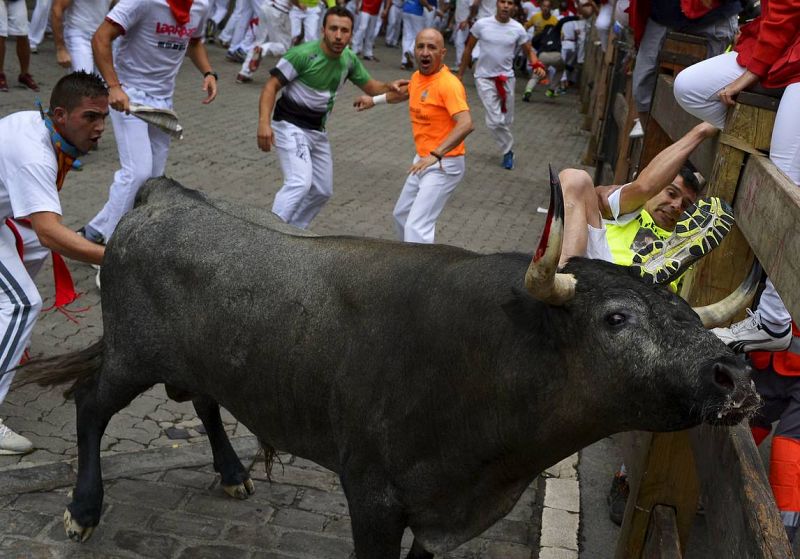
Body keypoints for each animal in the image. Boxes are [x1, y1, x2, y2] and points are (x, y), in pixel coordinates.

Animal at [17, 177, 756, 556]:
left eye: (687, 315)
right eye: (617, 318)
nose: (736, 377)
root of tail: (167, 196)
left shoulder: (447, 518)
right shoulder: (371, 497)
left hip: (200, 361)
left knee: (202, 400)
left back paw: (231, 473)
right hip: (130, 355)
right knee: (89, 404)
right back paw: (83, 509)